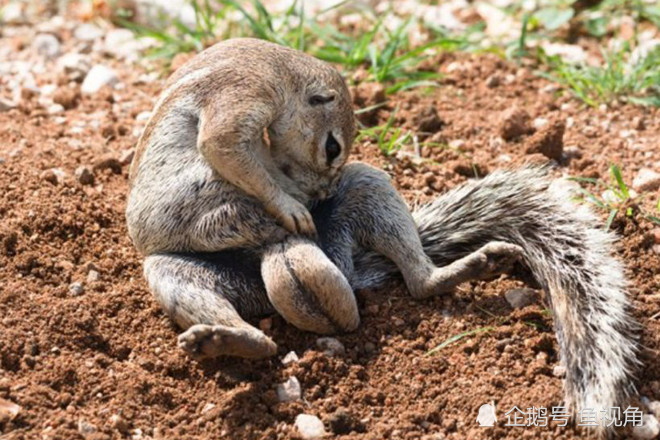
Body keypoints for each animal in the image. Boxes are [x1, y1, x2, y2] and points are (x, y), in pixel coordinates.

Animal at [125, 37, 640, 436]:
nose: (321, 198)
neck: (282, 71)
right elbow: (226, 145)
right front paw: (288, 205)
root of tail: (342, 270)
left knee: (418, 281)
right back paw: (224, 335)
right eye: (332, 145)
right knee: (257, 334)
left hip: (366, 190)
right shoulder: (245, 94)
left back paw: (470, 265)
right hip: (179, 270)